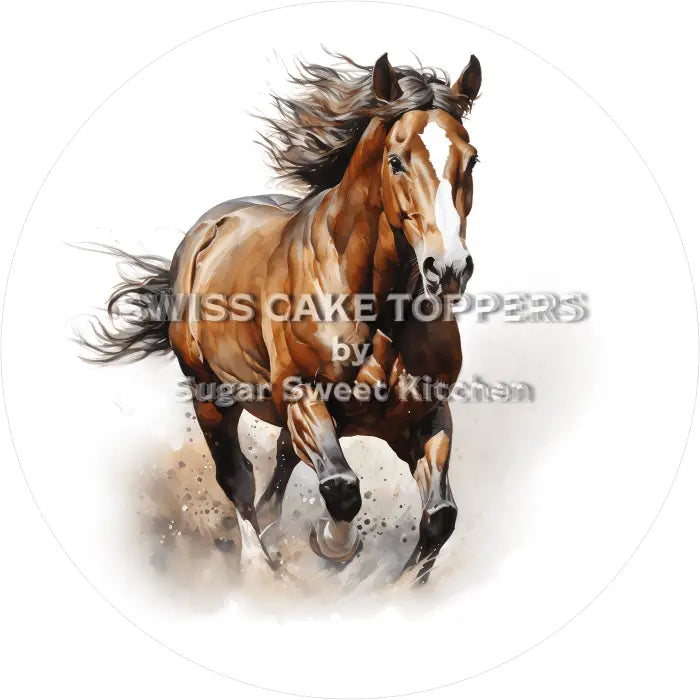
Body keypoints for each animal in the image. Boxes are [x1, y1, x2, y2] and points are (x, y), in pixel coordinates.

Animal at [82, 52, 482, 583]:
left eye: (472, 159)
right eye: (396, 161)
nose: (450, 268)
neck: (378, 308)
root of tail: (204, 233)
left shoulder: (427, 417)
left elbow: (440, 516)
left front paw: (402, 586)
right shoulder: (301, 395)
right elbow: (341, 488)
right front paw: (332, 545)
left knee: (280, 465)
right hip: (209, 393)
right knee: (238, 478)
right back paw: (261, 565)